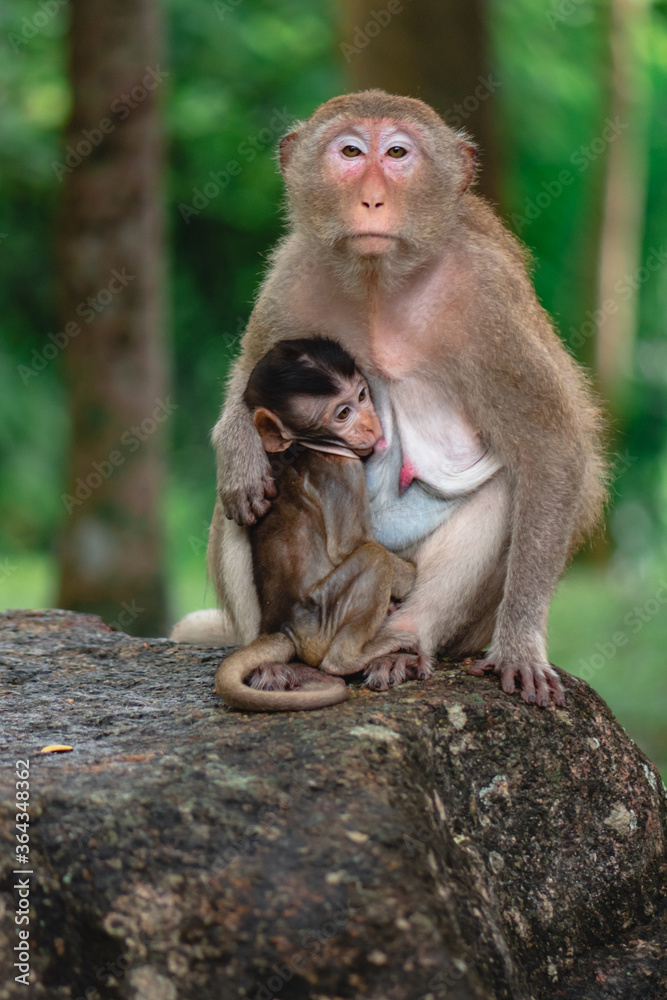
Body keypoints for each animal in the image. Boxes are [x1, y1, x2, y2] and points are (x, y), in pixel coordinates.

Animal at [214, 336, 428, 712]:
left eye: (361, 395)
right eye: (342, 414)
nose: (370, 425)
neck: (307, 446)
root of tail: (282, 627)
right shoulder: (342, 472)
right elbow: (350, 545)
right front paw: (412, 576)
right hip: (321, 622)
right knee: (373, 559)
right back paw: (353, 657)